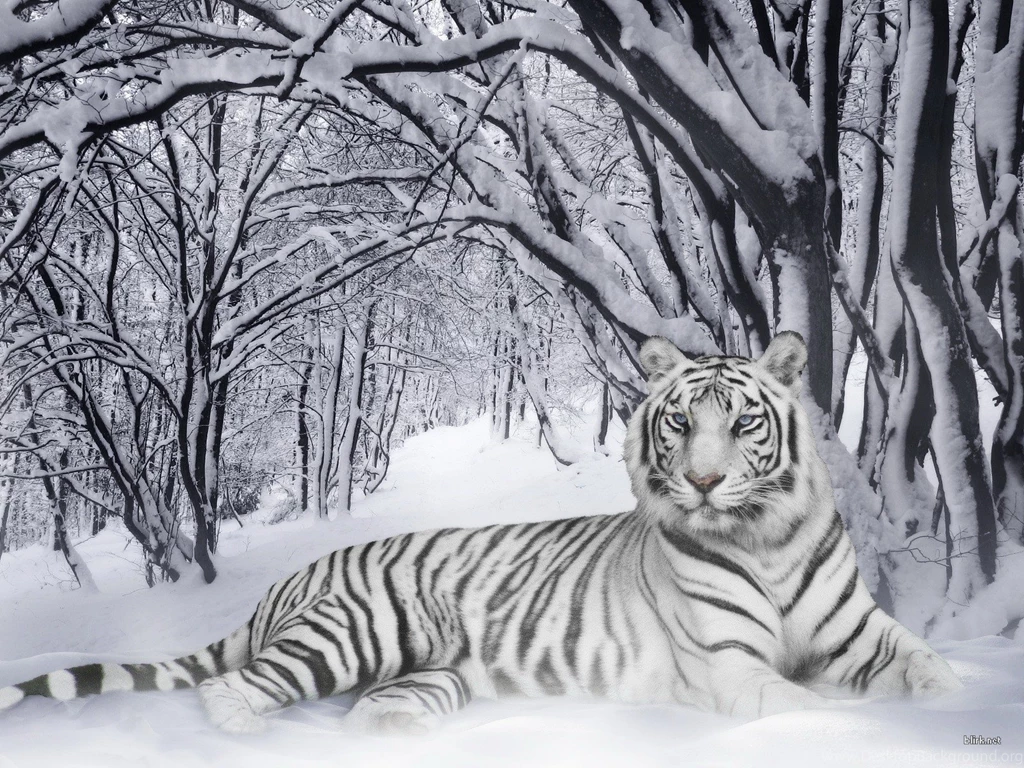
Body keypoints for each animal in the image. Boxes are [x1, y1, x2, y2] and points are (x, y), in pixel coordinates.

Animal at [0, 332, 962, 734]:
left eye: (743, 423)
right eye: (681, 423)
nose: (702, 481)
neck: (765, 537)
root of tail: (290, 579)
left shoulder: (864, 635)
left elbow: (931, 671)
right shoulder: (732, 668)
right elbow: (808, 708)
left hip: (432, 674)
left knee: (371, 709)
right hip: (354, 632)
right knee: (234, 690)